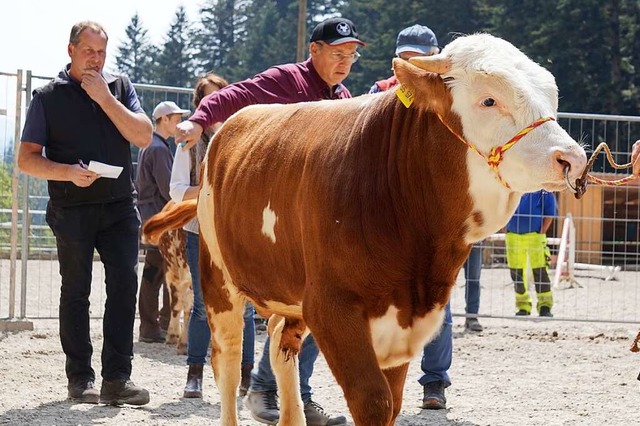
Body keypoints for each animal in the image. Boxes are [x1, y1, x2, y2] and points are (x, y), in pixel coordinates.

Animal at [145, 35, 584, 424]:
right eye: (489, 99)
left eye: (552, 98)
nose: (573, 159)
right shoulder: (332, 307)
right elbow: (373, 401)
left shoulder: (408, 316)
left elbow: (392, 401)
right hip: (219, 279)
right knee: (228, 360)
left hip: (292, 294)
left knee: (280, 345)